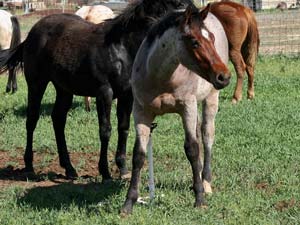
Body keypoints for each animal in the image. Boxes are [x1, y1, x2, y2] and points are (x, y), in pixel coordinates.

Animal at [0, 0, 192, 179]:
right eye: (179, 9)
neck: (121, 49)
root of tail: (32, 34)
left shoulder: (126, 95)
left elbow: (123, 128)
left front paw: (123, 169)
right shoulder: (104, 93)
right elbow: (105, 130)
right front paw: (105, 171)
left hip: (64, 89)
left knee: (58, 120)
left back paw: (69, 168)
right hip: (37, 84)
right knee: (32, 120)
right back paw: (29, 166)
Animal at [120, 3, 231, 214]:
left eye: (212, 38)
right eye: (194, 42)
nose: (224, 76)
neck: (160, 79)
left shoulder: (187, 107)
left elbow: (192, 149)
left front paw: (199, 199)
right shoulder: (141, 112)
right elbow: (138, 155)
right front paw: (128, 203)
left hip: (210, 99)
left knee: (207, 135)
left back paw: (205, 182)